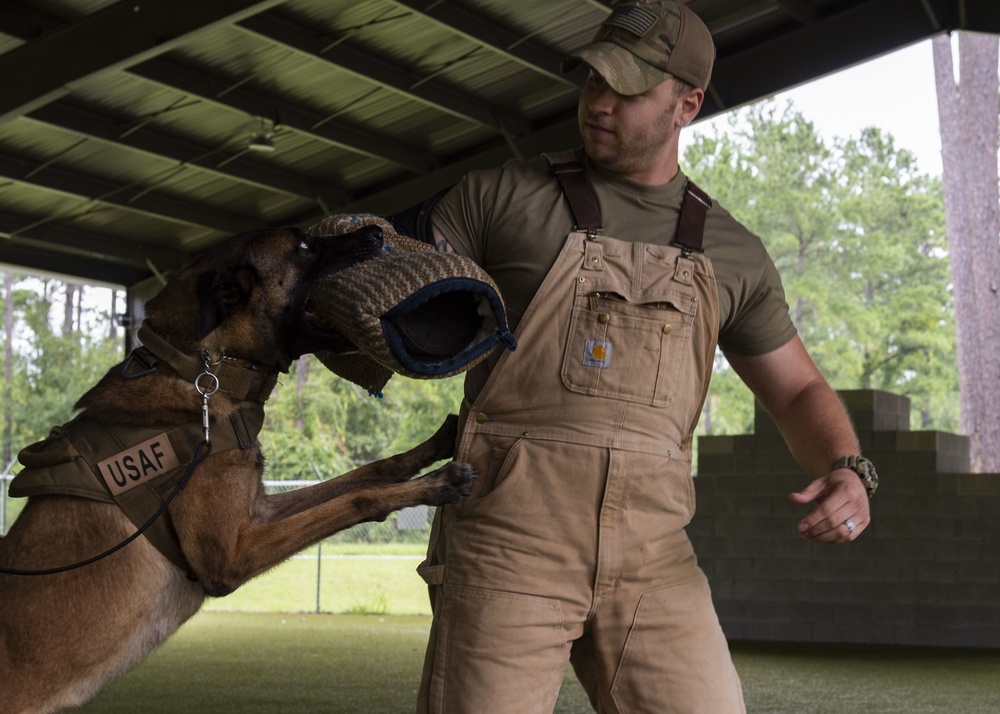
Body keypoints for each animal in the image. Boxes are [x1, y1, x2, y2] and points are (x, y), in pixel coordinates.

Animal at [0, 227, 474, 712]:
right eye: (304, 245)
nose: (376, 231)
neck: (202, 370)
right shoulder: (230, 557)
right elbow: (356, 499)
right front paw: (435, 483)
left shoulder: (257, 512)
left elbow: (362, 475)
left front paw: (432, 448)